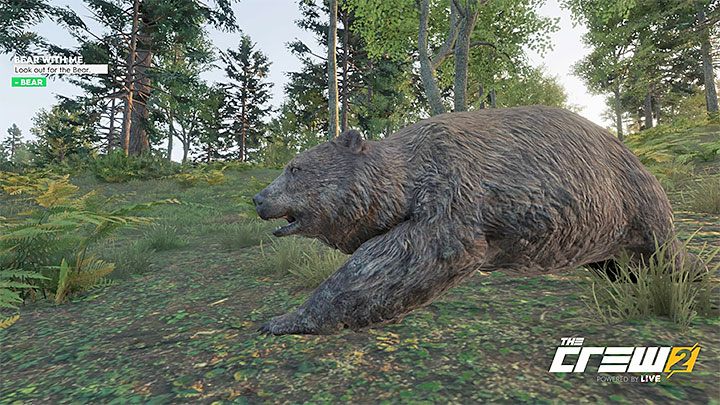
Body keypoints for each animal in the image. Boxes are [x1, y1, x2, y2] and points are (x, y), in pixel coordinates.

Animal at [253, 105, 688, 335]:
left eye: (294, 168)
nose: (259, 199)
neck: (408, 172)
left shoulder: (452, 189)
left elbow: (414, 256)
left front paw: (283, 319)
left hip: (630, 205)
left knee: (662, 254)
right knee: (622, 266)